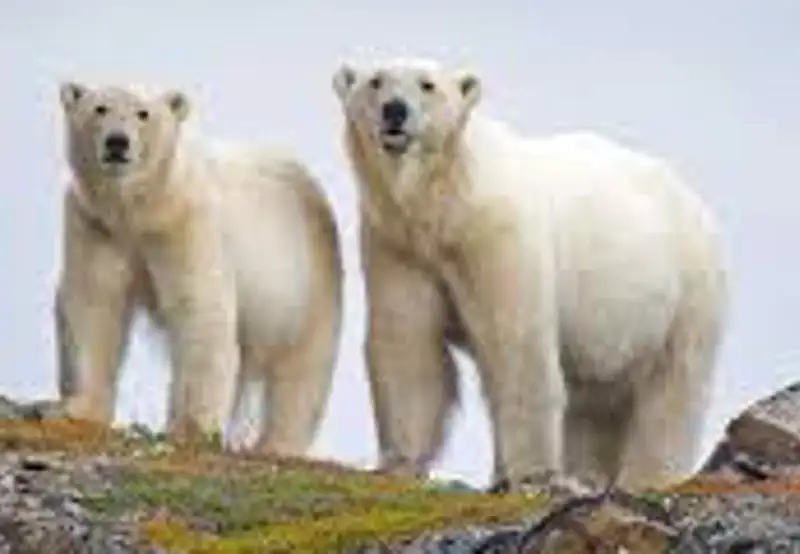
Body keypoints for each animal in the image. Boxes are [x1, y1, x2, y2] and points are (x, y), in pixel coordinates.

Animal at [55, 81, 343, 455]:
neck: (141, 210)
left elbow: (200, 312)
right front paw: (80, 409)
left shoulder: (188, 225)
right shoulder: (96, 226)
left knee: (302, 368)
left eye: (143, 113)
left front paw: (192, 429)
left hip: (305, 281)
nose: (117, 142)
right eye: (100, 108)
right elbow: (93, 305)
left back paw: (277, 444)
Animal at [332, 57, 728, 492]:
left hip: (685, 295)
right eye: (376, 81)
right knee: (596, 404)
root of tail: (696, 204)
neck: (447, 203)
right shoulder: (400, 246)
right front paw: (399, 462)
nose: (395, 111)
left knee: (671, 393)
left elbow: (517, 345)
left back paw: (646, 477)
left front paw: (531, 473)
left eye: (427, 84)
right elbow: (408, 341)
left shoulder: (498, 236)